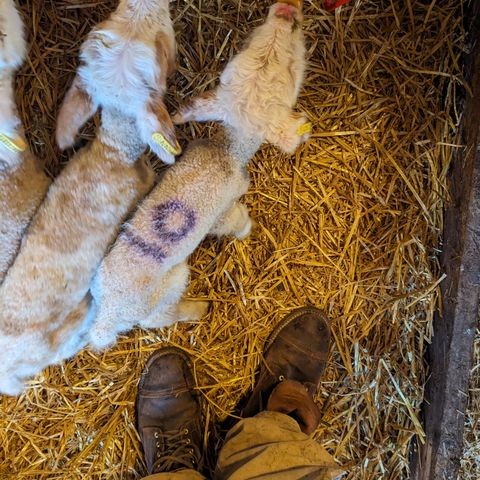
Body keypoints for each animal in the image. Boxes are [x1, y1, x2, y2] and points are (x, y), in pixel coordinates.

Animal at [88, 0, 310, 348]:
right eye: (290, 71)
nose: (287, 9)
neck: (226, 150)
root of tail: (107, 317)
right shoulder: (224, 207)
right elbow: (234, 221)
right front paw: (248, 230)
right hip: (168, 288)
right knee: (161, 317)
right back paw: (199, 307)